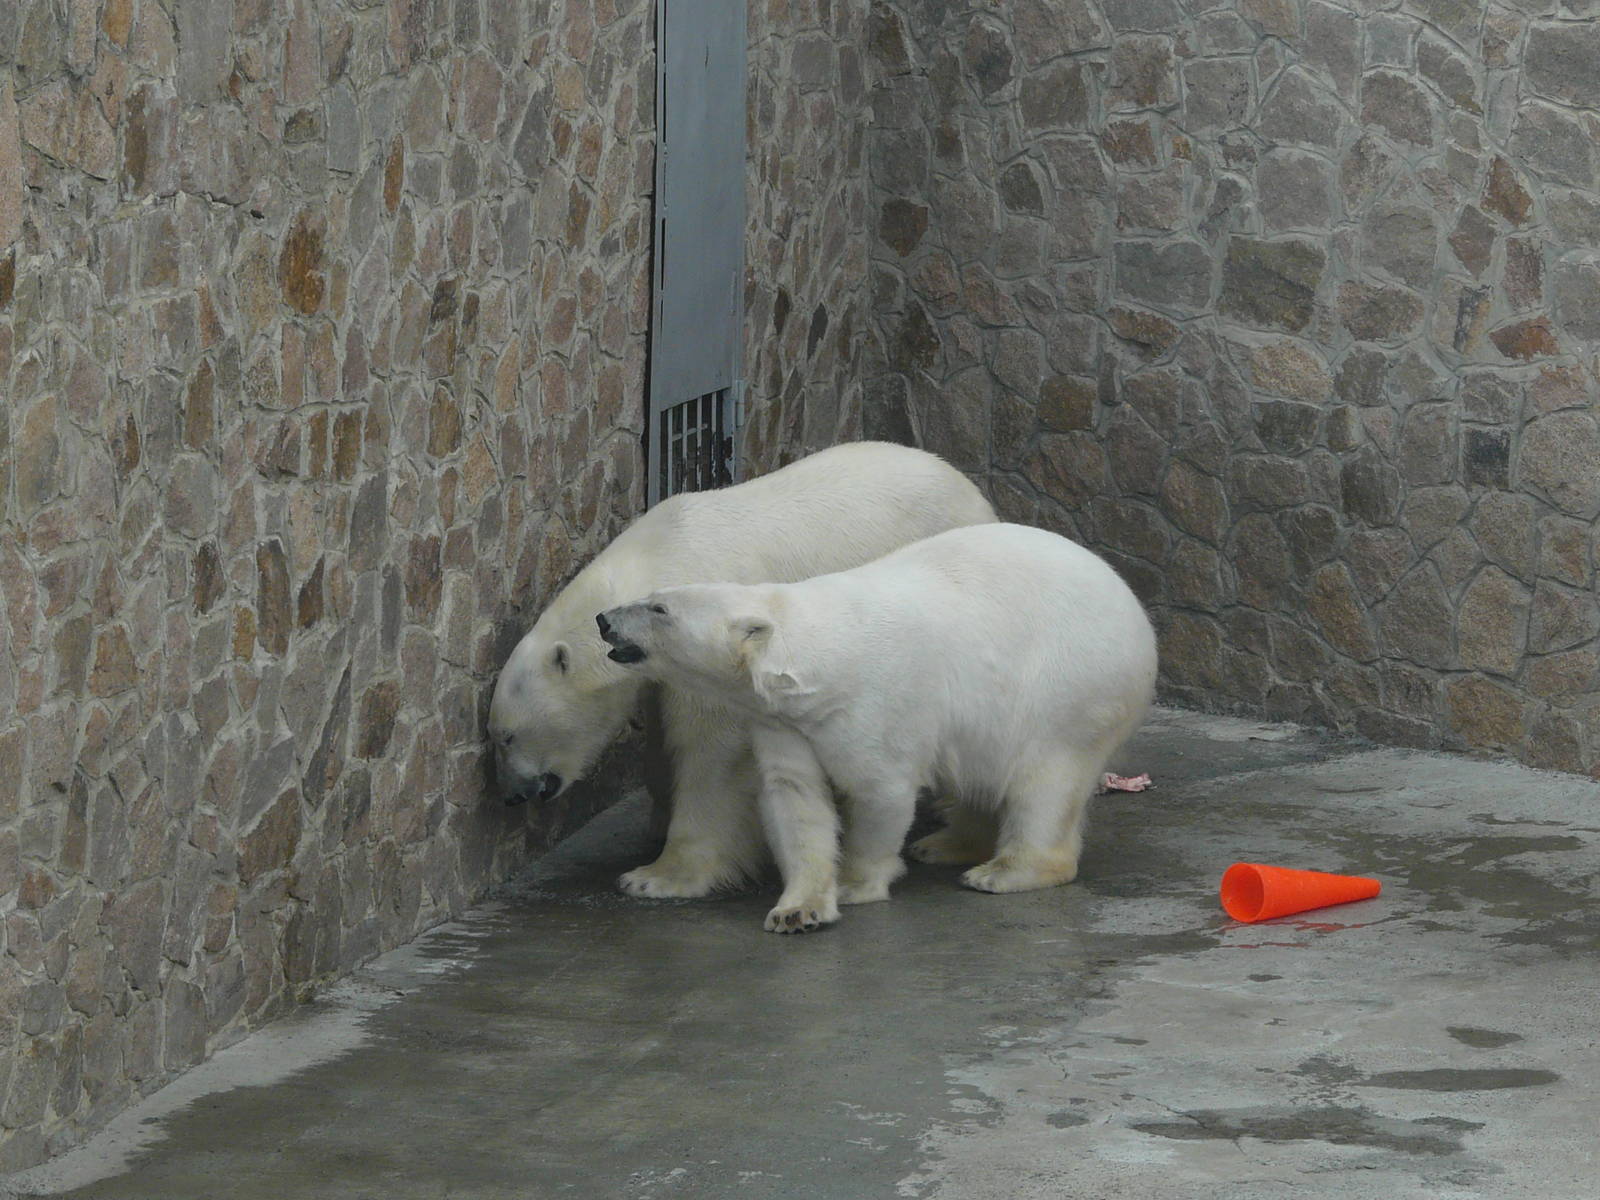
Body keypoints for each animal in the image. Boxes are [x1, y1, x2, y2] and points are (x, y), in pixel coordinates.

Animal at [487, 441, 997, 900]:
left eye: (508, 736)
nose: (513, 794)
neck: (665, 553)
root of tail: (972, 491)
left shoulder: (709, 641)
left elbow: (711, 749)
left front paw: (658, 875)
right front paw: (658, 820)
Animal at [595, 522, 1158, 932]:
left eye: (659, 607)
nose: (604, 619)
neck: (816, 663)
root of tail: (1136, 611)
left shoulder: (874, 705)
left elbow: (878, 792)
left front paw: (852, 884)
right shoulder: (783, 723)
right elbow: (795, 800)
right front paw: (798, 910)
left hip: (1069, 688)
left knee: (1045, 781)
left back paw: (1003, 871)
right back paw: (947, 844)